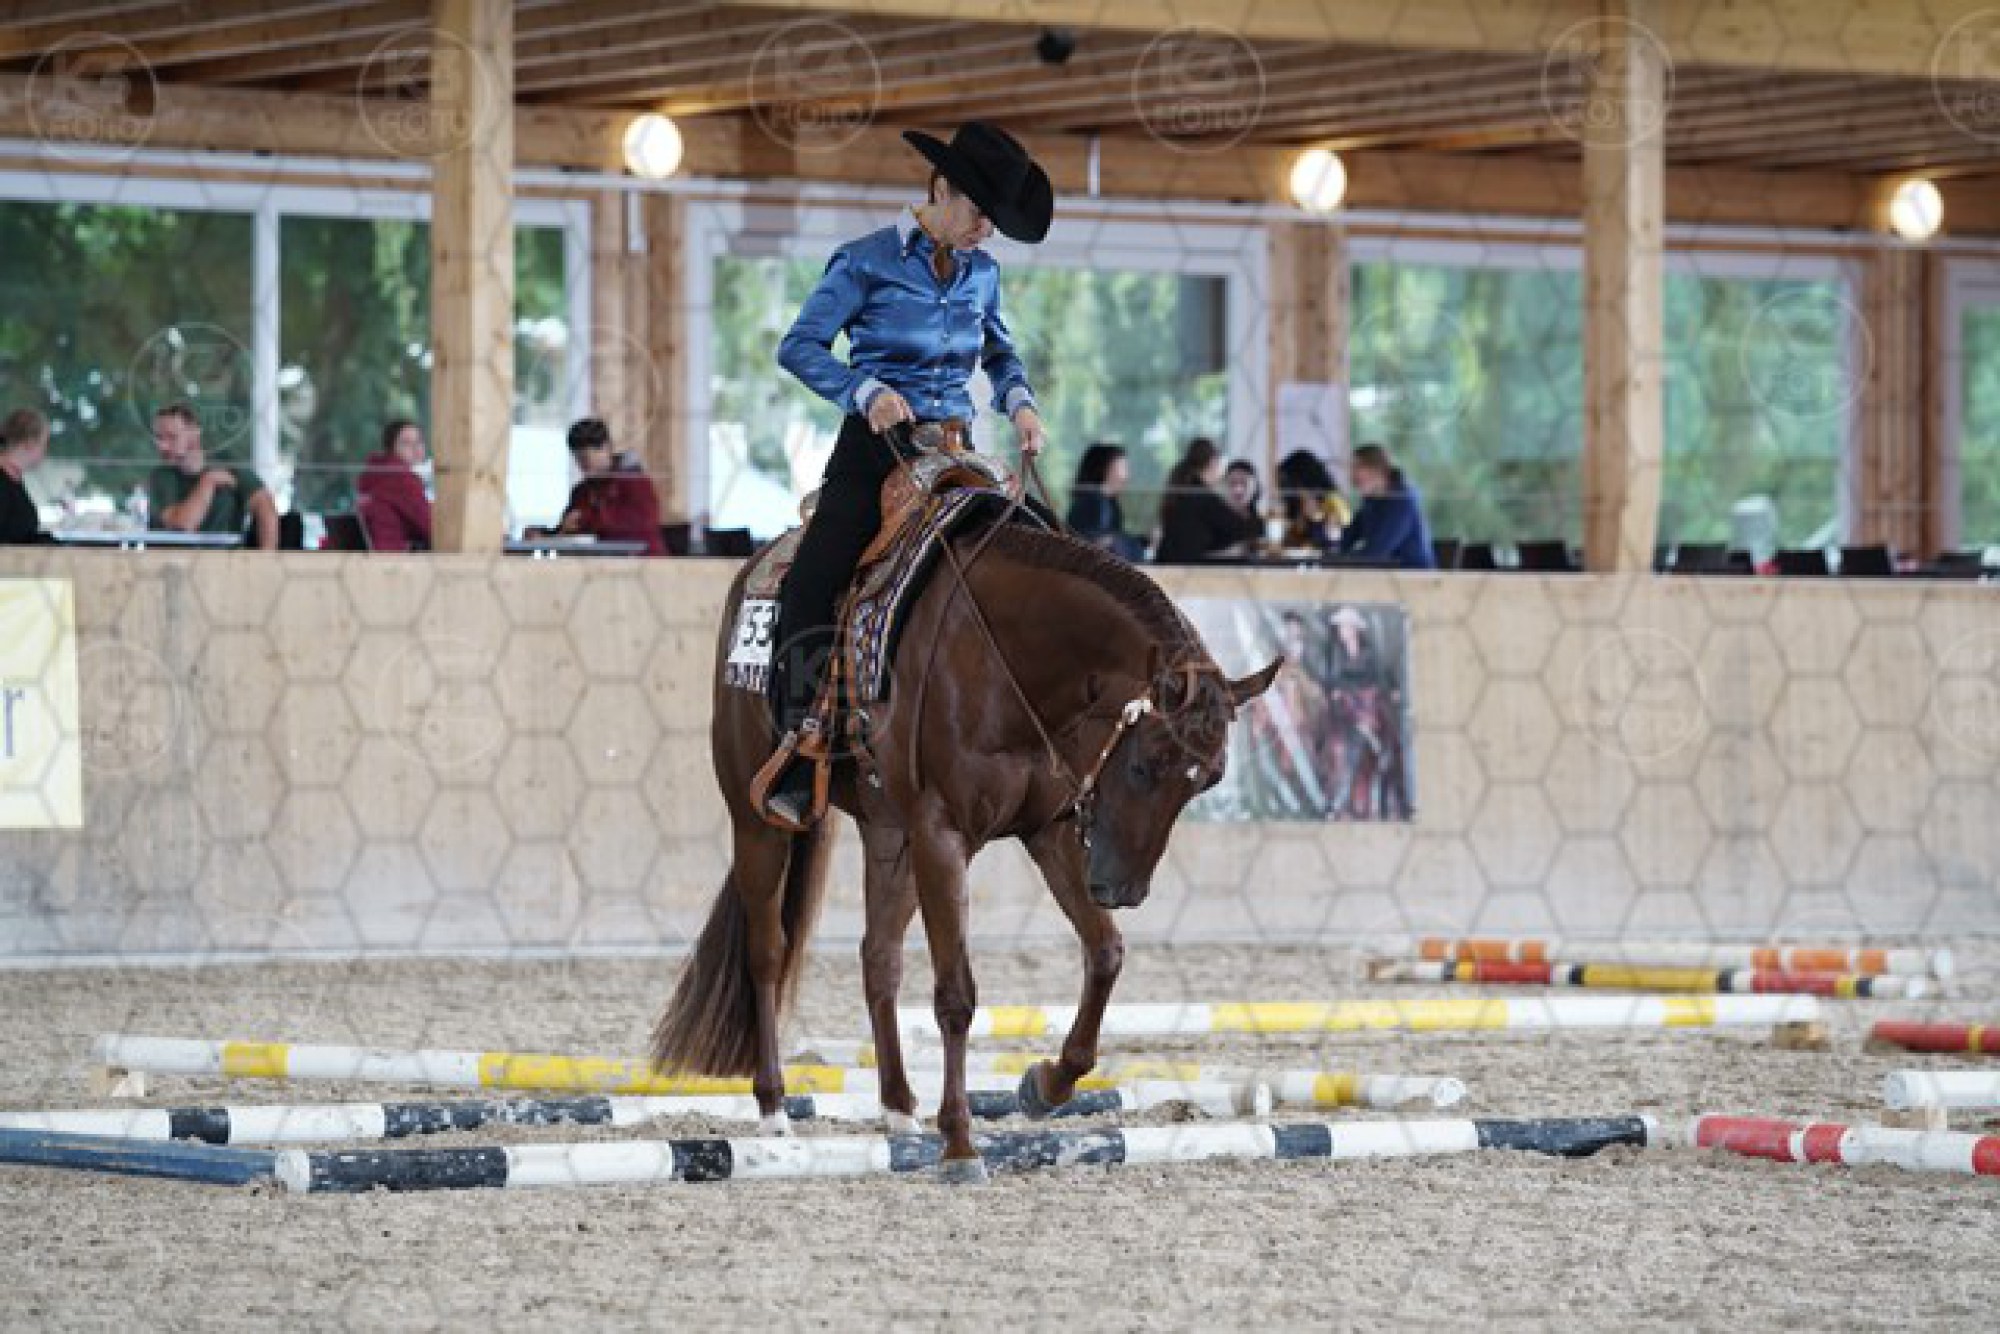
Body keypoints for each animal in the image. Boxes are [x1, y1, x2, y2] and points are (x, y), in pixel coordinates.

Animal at [651, 518, 1280, 1182]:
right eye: (1144, 765)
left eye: (1208, 779)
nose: (1123, 888)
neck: (1015, 664)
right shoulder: (943, 834)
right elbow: (956, 994)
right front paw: (959, 1143)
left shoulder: (1049, 830)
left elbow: (1105, 952)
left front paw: (1047, 1085)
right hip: (759, 822)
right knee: (768, 953)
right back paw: (774, 1106)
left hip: (892, 835)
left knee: (879, 958)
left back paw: (898, 1107)